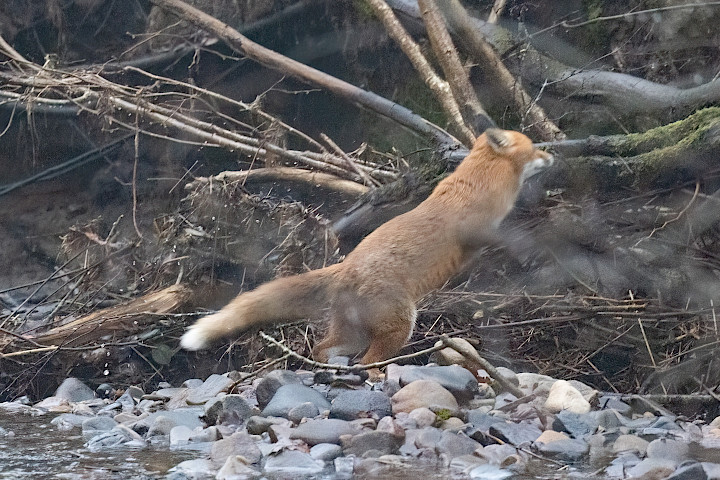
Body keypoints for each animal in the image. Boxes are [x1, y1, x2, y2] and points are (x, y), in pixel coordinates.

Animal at [181, 128, 553, 366]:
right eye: (535, 147)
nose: (552, 155)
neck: (481, 186)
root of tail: (346, 267)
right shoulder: (477, 231)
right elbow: (510, 241)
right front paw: (530, 252)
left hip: (353, 334)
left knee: (323, 349)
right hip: (399, 326)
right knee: (370, 360)